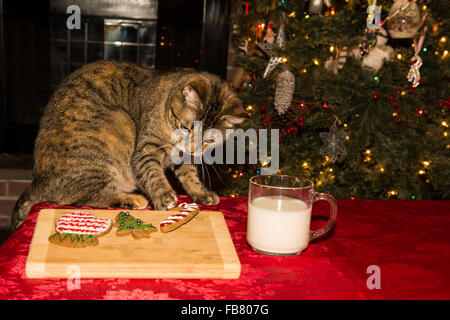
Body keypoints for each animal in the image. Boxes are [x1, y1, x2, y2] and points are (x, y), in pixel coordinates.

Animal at [9, 59, 246, 230]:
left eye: (209, 139)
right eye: (186, 128)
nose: (191, 148)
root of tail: (39, 181)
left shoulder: (183, 157)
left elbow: (190, 176)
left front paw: (201, 192)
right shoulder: (146, 148)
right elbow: (152, 172)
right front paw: (163, 195)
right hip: (117, 123)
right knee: (84, 197)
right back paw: (132, 199)